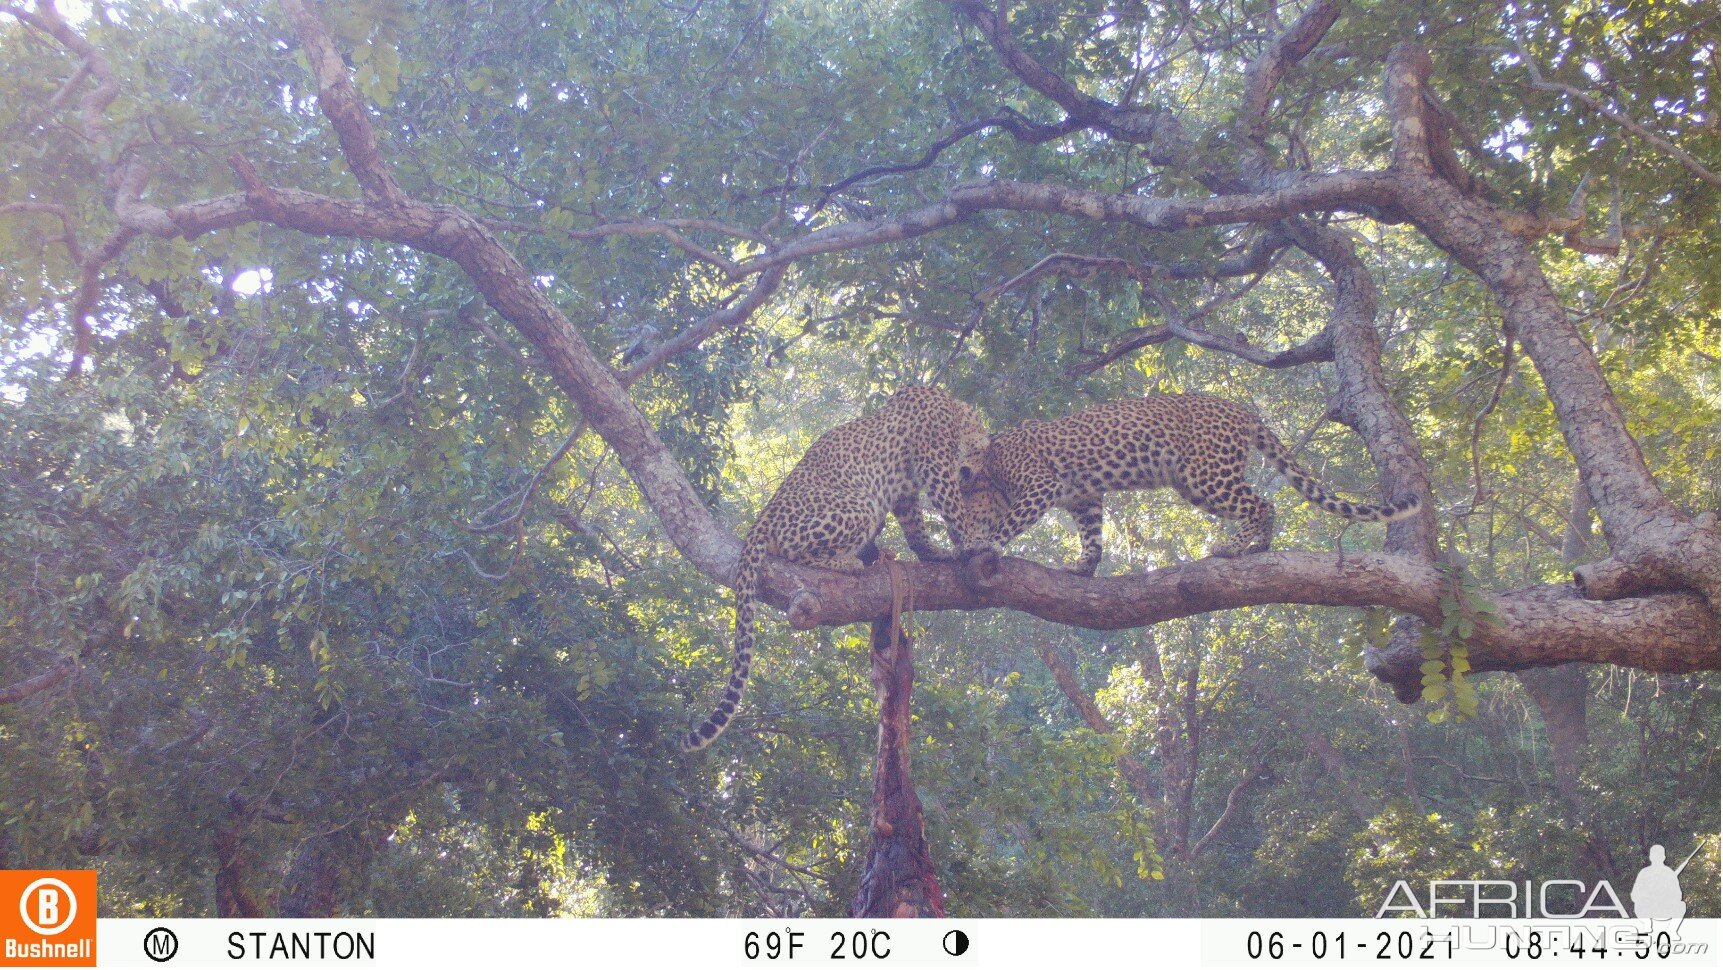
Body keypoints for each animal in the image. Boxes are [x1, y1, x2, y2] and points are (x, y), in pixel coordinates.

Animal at [678, 385, 992, 751]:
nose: (975, 473)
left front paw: (936, 553)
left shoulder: (906, 494)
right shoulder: (935, 464)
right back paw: (849, 561)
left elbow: (916, 529)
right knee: (794, 551)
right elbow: (952, 505)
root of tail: (761, 519)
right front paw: (974, 542)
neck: (955, 413)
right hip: (859, 505)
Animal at [964, 394, 1419, 575]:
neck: (988, 465)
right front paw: (1084, 566)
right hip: (1196, 483)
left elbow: (1011, 521)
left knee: (1260, 504)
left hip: (1207, 474)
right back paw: (1258, 547)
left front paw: (983, 544)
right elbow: (1092, 534)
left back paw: (1232, 548)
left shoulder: (1040, 486)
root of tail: (1242, 411)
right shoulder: (1085, 497)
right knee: (1262, 506)